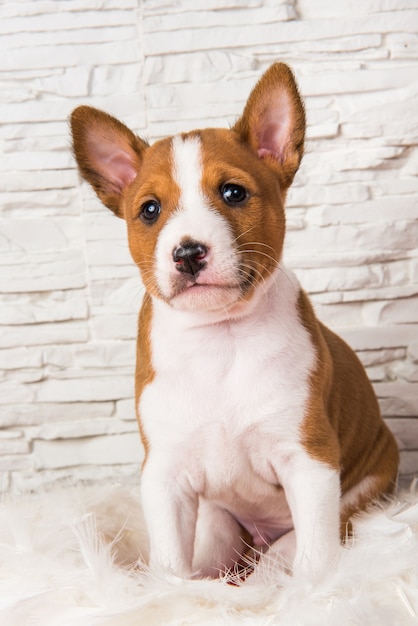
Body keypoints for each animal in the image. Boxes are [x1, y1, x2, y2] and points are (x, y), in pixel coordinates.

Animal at [71, 63, 398, 580]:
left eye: (233, 192)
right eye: (149, 209)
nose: (188, 252)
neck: (218, 339)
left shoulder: (309, 461)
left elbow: (315, 557)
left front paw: (313, 590)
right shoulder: (165, 473)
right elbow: (170, 564)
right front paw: (173, 589)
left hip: (359, 493)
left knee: (287, 552)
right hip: (219, 521)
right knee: (214, 552)